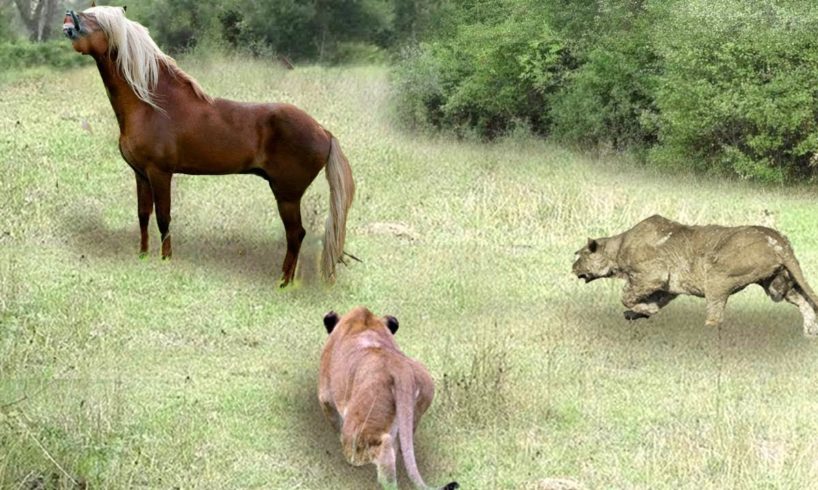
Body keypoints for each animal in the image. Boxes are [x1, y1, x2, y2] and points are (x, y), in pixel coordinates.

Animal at [62, 6, 355, 287]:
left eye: (95, 21)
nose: (67, 22)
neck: (152, 105)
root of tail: (323, 131)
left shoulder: (160, 173)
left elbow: (164, 218)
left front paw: (166, 260)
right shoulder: (141, 174)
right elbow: (143, 215)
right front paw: (143, 256)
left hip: (287, 195)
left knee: (295, 234)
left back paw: (283, 283)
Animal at [318, 307, 459, 490]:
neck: (364, 323)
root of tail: (399, 368)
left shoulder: (325, 397)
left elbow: (334, 423)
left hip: (358, 423)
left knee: (377, 447)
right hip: (411, 415)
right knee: (398, 447)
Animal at [572, 215, 818, 335]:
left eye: (579, 255)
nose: (572, 268)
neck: (617, 248)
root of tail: (779, 240)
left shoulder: (654, 274)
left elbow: (627, 295)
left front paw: (640, 310)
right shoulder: (667, 287)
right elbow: (653, 301)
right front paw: (640, 313)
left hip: (717, 276)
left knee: (715, 317)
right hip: (776, 285)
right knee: (805, 303)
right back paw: (809, 332)